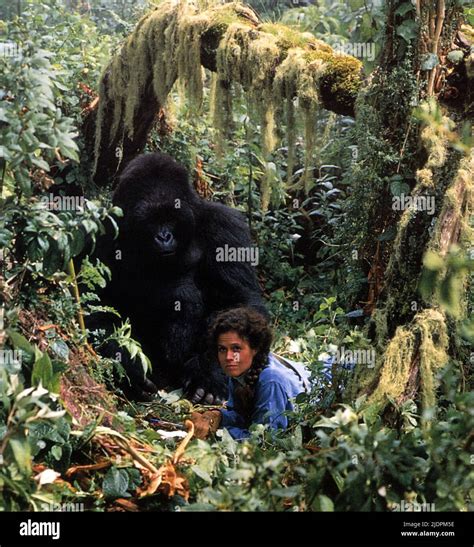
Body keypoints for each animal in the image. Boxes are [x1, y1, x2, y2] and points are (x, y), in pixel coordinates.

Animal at [90, 152, 264, 404]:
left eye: (171, 217)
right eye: (151, 220)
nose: (164, 237)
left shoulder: (225, 227)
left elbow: (238, 301)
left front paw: (207, 373)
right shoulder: (102, 231)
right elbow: (97, 306)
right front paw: (129, 365)